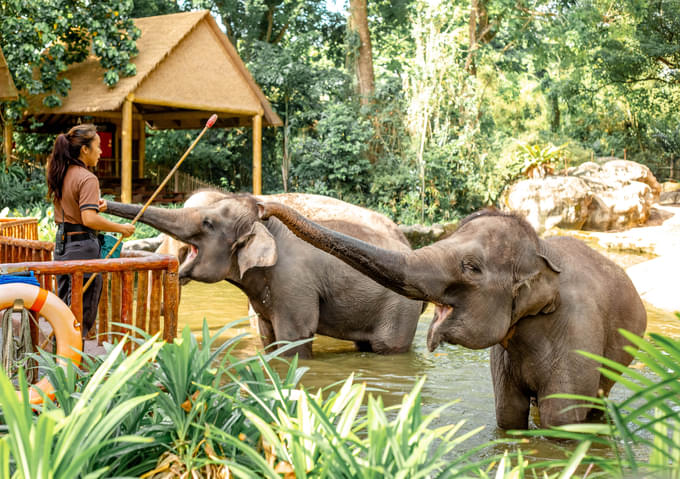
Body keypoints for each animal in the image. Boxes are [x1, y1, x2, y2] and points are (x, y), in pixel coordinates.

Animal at [105, 193, 424, 358]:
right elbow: (266, 335)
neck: (271, 228)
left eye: (208, 223)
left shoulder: (294, 286)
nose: (102, 203)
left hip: (399, 311)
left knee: (388, 347)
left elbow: (294, 337)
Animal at [256, 204, 648, 430]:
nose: (262, 209)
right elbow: (508, 413)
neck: (543, 251)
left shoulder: (578, 335)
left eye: (471, 267)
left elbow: (562, 420)